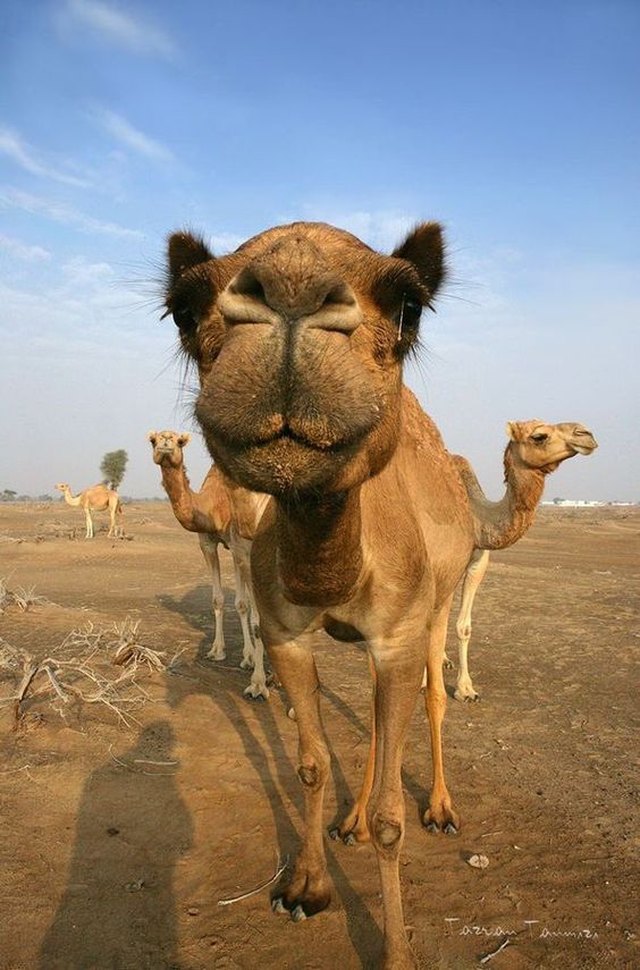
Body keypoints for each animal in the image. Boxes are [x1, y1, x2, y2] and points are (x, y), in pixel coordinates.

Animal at [148, 430, 270, 699]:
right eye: (153, 440)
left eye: (178, 441)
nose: (165, 443)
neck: (213, 503)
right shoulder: (209, 543)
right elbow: (222, 600)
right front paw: (219, 651)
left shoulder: (238, 546)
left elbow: (248, 608)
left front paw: (257, 676)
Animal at [162, 218, 483, 969]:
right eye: (184, 308)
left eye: (408, 305)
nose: (291, 290)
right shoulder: (286, 635)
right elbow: (309, 765)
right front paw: (306, 887)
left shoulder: (396, 637)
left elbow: (394, 816)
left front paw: (396, 951)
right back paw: (350, 822)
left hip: (437, 603)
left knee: (430, 695)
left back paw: (440, 808)